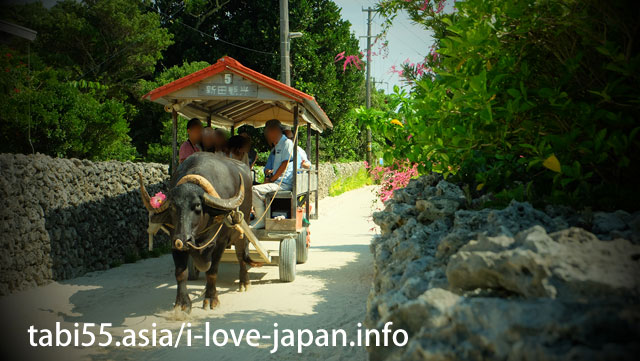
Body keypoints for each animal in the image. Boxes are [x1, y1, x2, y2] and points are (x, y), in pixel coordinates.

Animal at [139, 152, 256, 312]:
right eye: (173, 207)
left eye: (197, 206)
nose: (183, 239)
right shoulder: (174, 242)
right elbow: (181, 273)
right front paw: (182, 304)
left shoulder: (220, 242)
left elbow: (212, 271)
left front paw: (211, 299)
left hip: (242, 228)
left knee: (241, 255)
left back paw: (244, 282)